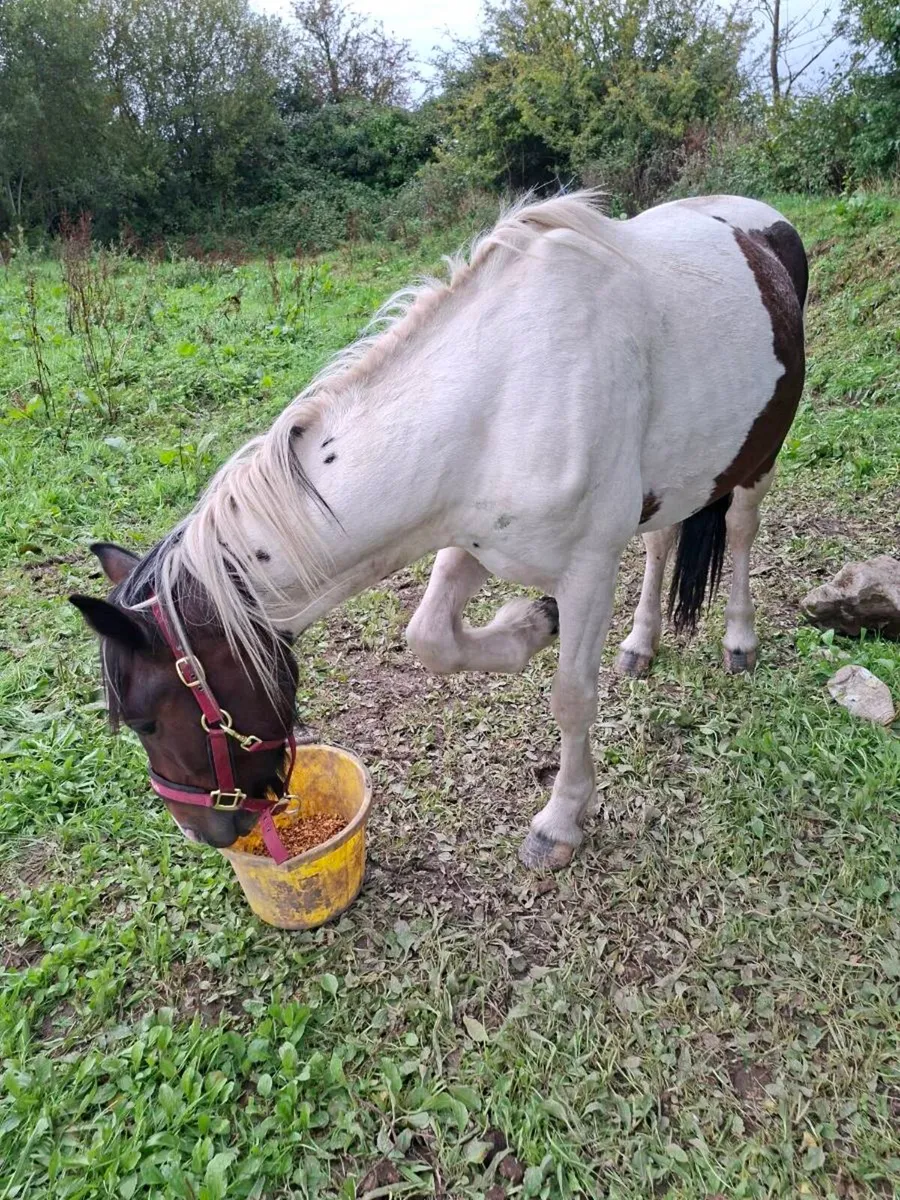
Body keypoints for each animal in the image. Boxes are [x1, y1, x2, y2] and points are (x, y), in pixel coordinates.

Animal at [71, 191, 807, 870]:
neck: (503, 397)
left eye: (145, 720)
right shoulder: (467, 538)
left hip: (758, 459)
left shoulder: (588, 571)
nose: (205, 832)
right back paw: (640, 643)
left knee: (741, 530)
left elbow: (571, 699)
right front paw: (529, 625)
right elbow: (431, 638)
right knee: (661, 540)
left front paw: (560, 821)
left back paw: (739, 639)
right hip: (679, 481)